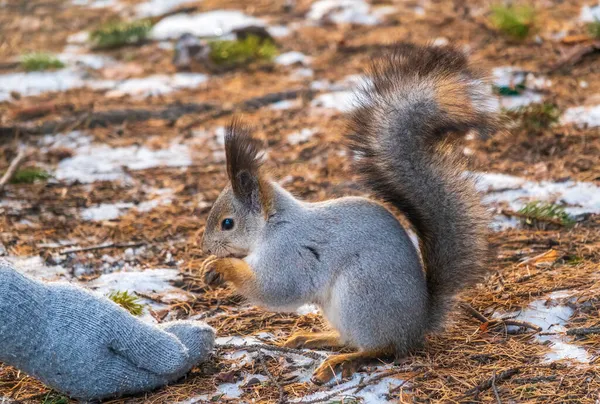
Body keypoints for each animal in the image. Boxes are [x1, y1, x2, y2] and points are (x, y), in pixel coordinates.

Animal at [199, 42, 500, 384]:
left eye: (227, 223)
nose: (205, 247)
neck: (273, 226)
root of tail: (416, 326)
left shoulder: (291, 253)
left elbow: (277, 289)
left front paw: (221, 265)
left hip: (359, 295)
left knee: (381, 347)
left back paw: (343, 360)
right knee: (349, 338)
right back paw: (313, 338)